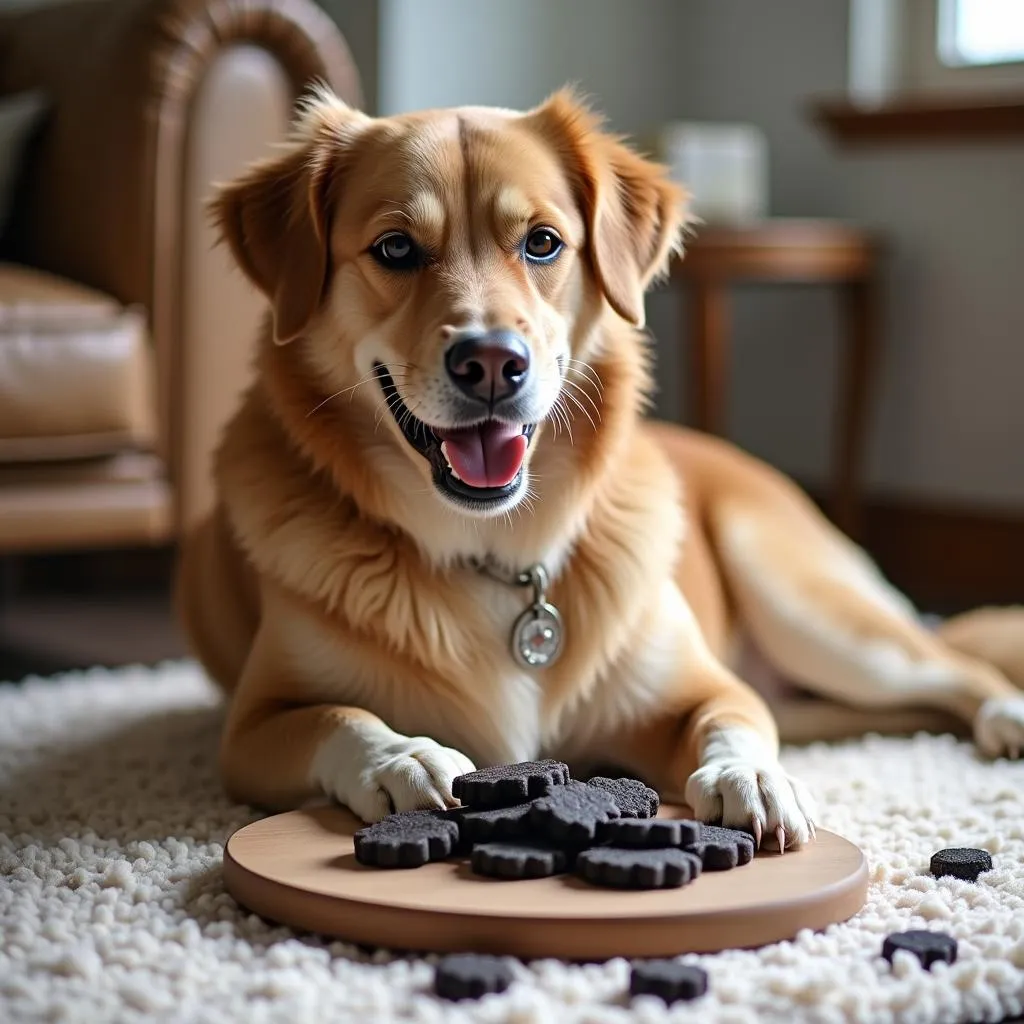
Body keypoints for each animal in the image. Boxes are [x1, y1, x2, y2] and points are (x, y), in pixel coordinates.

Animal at [176, 86, 1024, 847]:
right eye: (394, 249)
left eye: (543, 243)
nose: (493, 363)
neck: (498, 555)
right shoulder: (250, 730)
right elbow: (336, 716)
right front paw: (402, 756)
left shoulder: (703, 687)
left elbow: (734, 718)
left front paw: (749, 776)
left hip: (811, 610)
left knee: (952, 664)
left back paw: (1005, 717)